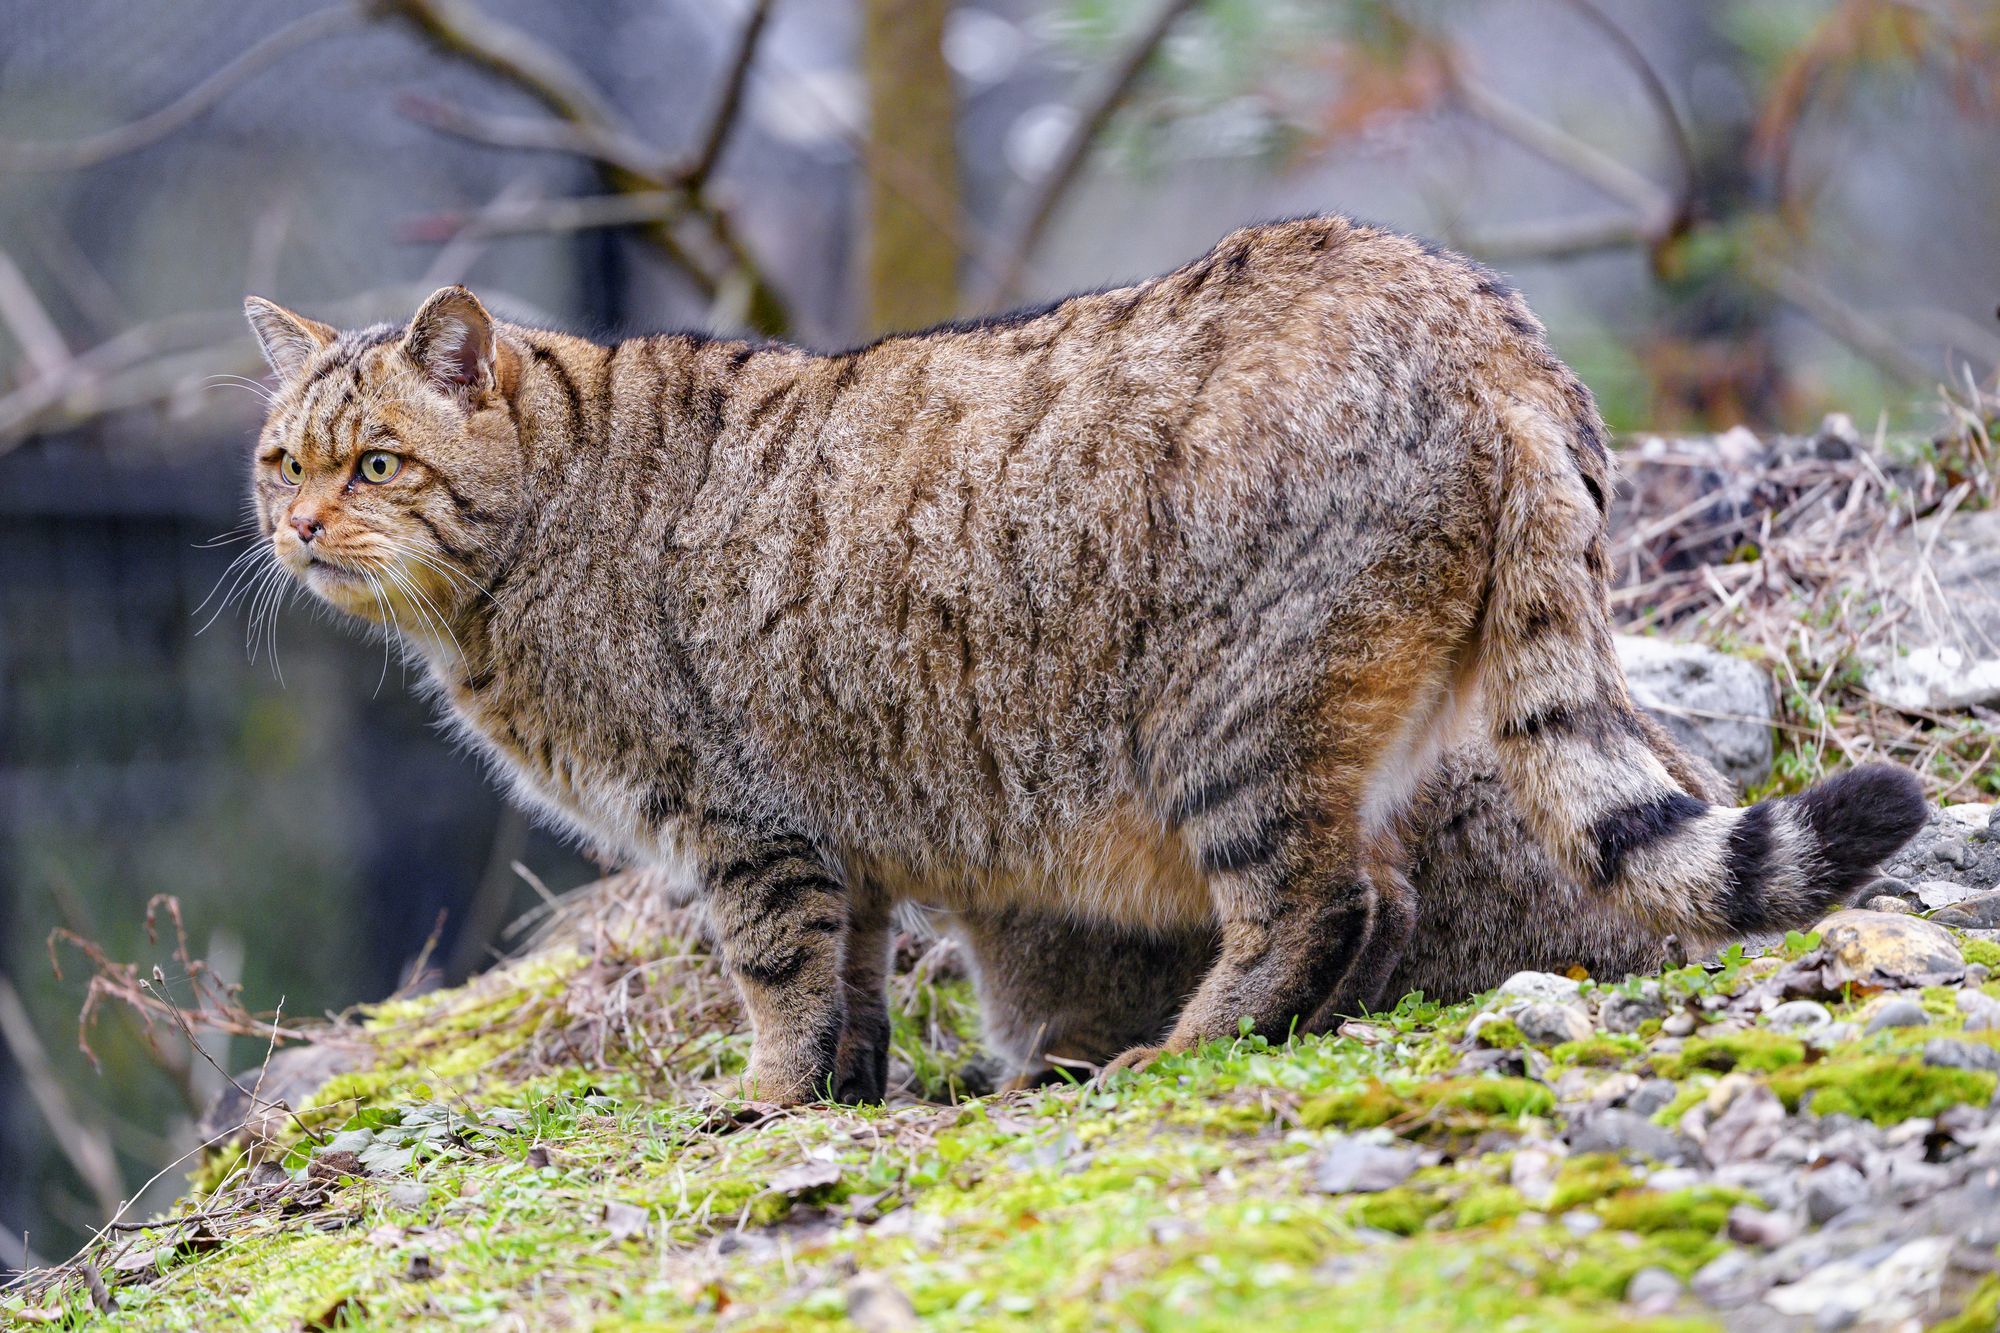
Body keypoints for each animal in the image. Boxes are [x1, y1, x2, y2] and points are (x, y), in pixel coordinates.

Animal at [242, 215, 1928, 1096]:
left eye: (376, 463)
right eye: (278, 462)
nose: (301, 526)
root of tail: (1470, 308)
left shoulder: (745, 822)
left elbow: (779, 981)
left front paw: (767, 1105)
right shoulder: (839, 829)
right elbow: (849, 982)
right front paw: (842, 1096)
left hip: (1228, 721)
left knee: (1323, 900)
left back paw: (1174, 1052)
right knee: (1415, 884)